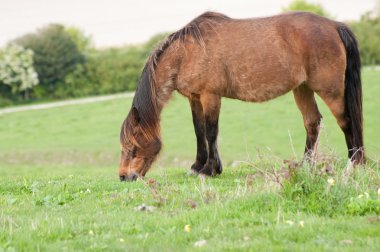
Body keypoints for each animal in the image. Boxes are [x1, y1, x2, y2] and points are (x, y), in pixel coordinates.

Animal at [119, 11, 366, 181]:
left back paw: (352, 165)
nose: (124, 177)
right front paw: (198, 167)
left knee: (346, 122)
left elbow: (210, 132)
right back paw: (304, 166)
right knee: (312, 123)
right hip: (302, 88)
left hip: (330, 91)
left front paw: (209, 170)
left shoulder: (210, 96)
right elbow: (199, 131)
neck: (186, 53)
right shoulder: (195, 98)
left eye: (132, 147)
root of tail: (334, 25)